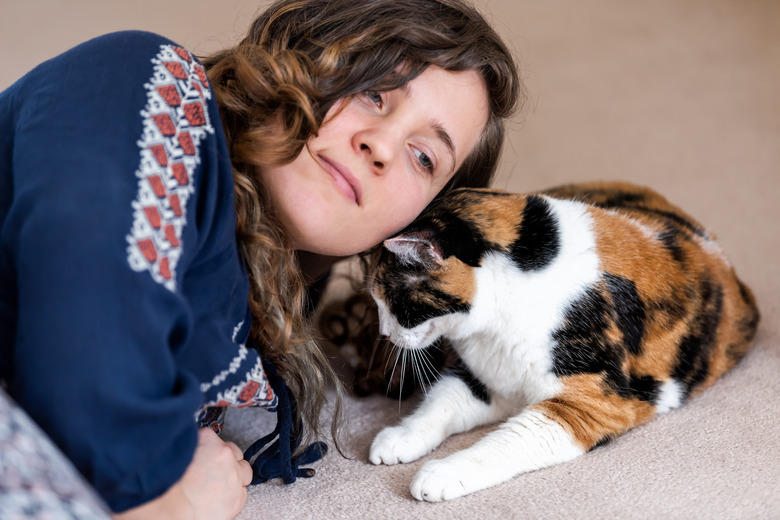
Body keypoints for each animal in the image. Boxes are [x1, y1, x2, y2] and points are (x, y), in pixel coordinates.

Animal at [368, 182, 760, 500]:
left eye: (389, 299)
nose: (384, 332)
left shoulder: (593, 405)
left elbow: (508, 440)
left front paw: (445, 472)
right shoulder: (485, 378)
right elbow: (441, 404)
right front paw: (400, 437)